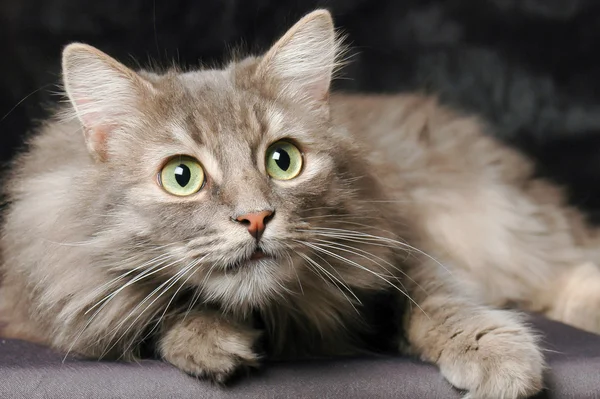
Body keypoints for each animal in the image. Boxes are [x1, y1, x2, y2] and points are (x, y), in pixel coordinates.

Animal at [3, 9, 600, 399]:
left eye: (282, 161)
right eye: (181, 176)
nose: (256, 217)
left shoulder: (400, 242)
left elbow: (441, 302)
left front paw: (500, 358)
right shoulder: (63, 296)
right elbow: (159, 310)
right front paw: (212, 342)